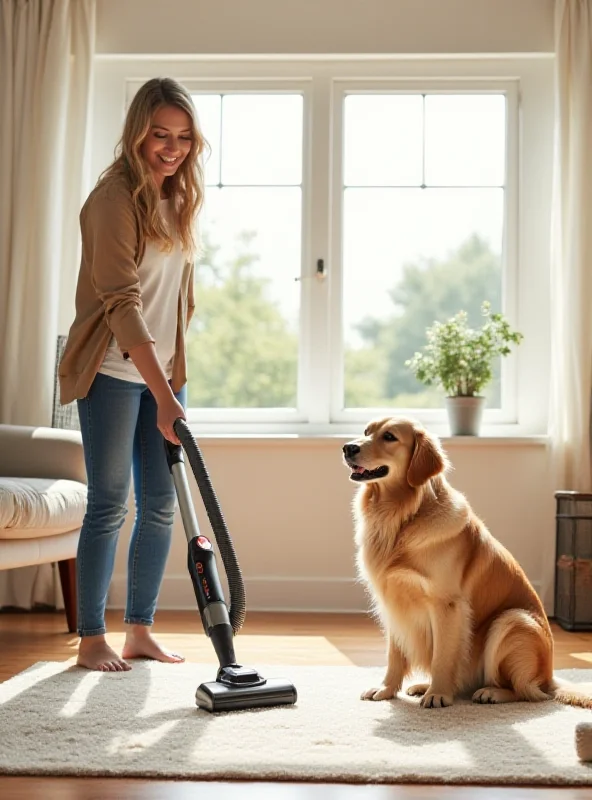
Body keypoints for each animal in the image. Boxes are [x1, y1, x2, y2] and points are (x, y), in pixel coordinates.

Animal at [342, 416, 592, 708]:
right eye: (366, 431)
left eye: (390, 437)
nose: (347, 447)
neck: (402, 515)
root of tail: (550, 676)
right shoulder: (393, 602)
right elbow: (395, 655)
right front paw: (386, 689)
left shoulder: (446, 604)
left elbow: (442, 656)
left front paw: (438, 694)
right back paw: (424, 686)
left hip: (511, 620)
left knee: (525, 691)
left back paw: (490, 692)